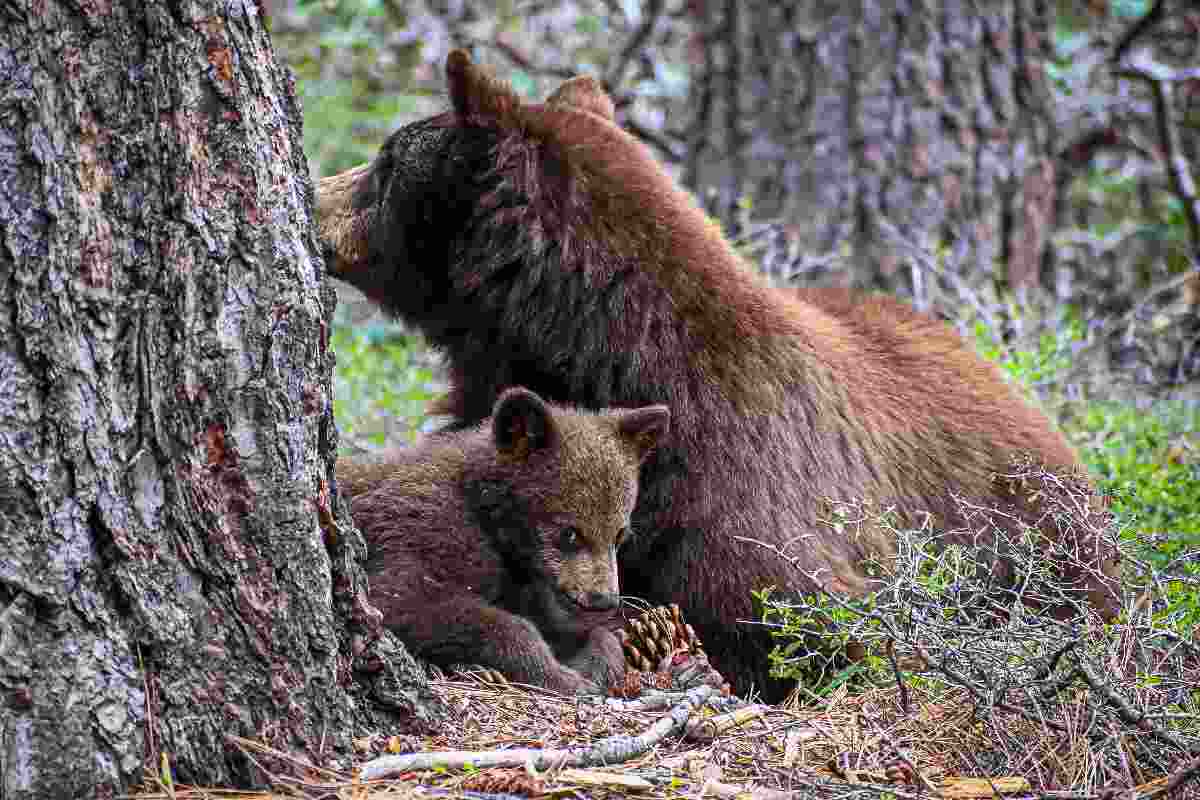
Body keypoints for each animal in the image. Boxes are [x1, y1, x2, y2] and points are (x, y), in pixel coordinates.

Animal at [314, 50, 1118, 700]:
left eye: (385, 161)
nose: (316, 195)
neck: (610, 355)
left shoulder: (745, 502)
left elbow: (815, 623)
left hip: (1045, 546)